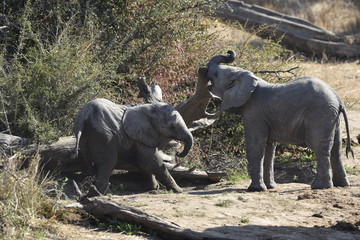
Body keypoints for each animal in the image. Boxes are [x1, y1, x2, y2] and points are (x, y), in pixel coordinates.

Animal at [207, 50, 352, 191]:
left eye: (216, 74)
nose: (228, 52)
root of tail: (338, 99)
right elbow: (269, 149)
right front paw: (270, 187)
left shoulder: (254, 113)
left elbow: (255, 146)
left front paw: (255, 189)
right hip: (332, 117)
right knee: (336, 148)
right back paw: (341, 185)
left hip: (320, 114)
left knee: (319, 146)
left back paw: (319, 186)